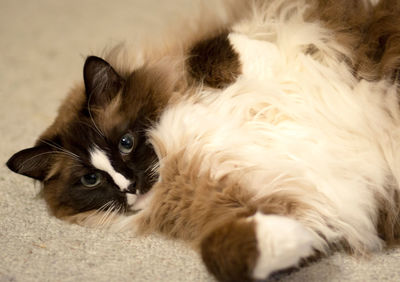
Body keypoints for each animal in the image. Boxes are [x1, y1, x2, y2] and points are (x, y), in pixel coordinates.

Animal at [6, 0, 400, 280]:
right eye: (91, 179)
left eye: (125, 143)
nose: (129, 186)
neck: (175, 153)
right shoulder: (288, 202)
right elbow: (221, 253)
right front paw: (295, 238)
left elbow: (212, 48)